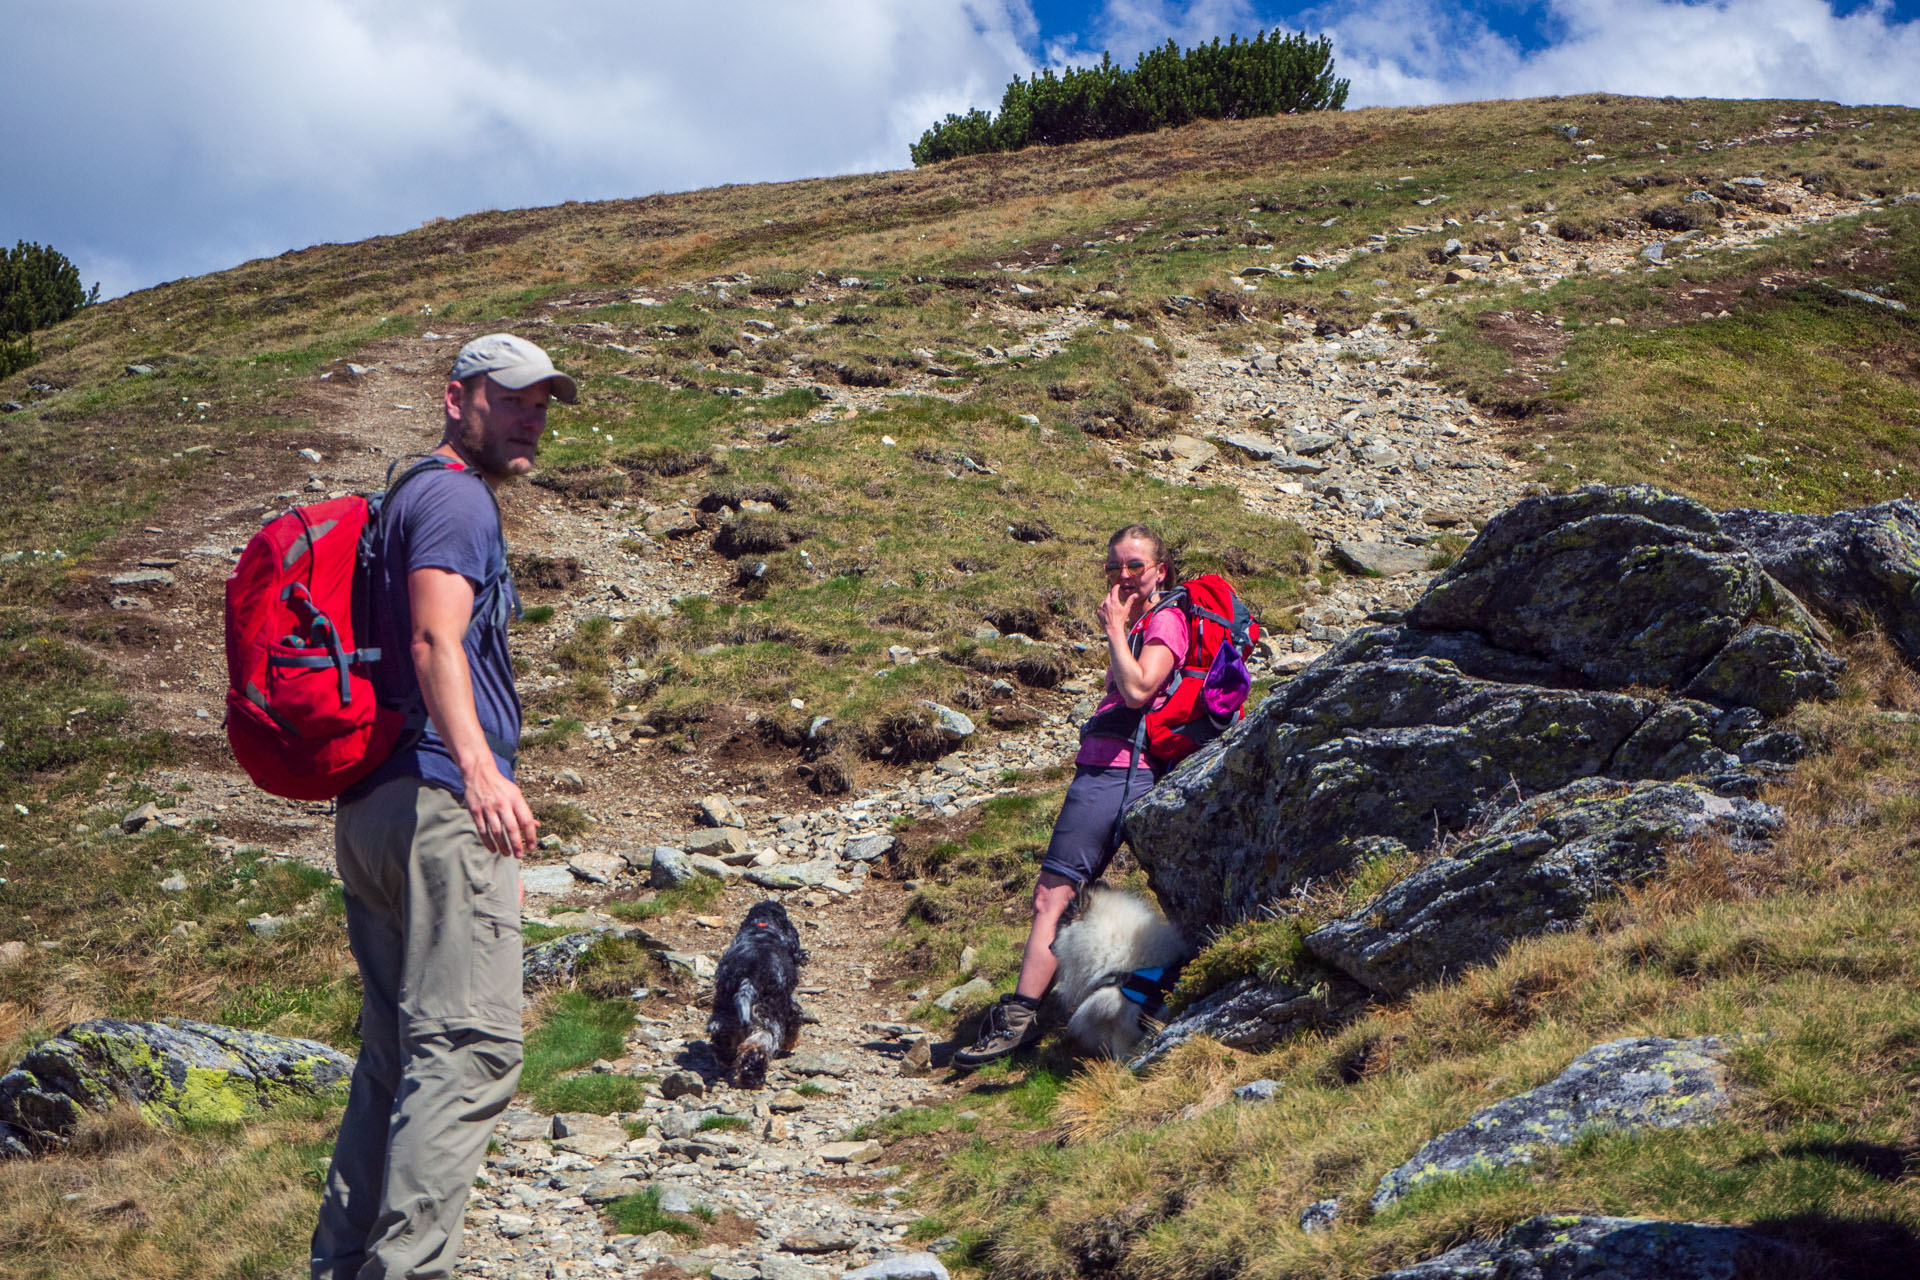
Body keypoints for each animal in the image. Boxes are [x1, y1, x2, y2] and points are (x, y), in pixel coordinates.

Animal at [706, 901, 802, 1090]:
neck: (763, 926)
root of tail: (749, 977)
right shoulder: (786, 1003)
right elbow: (794, 1019)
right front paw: (792, 1042)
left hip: (725, 1007)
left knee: (722, 1031)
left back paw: (725, 1056)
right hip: (767, 1017)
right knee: (758, 1045)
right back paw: (751, 1078)